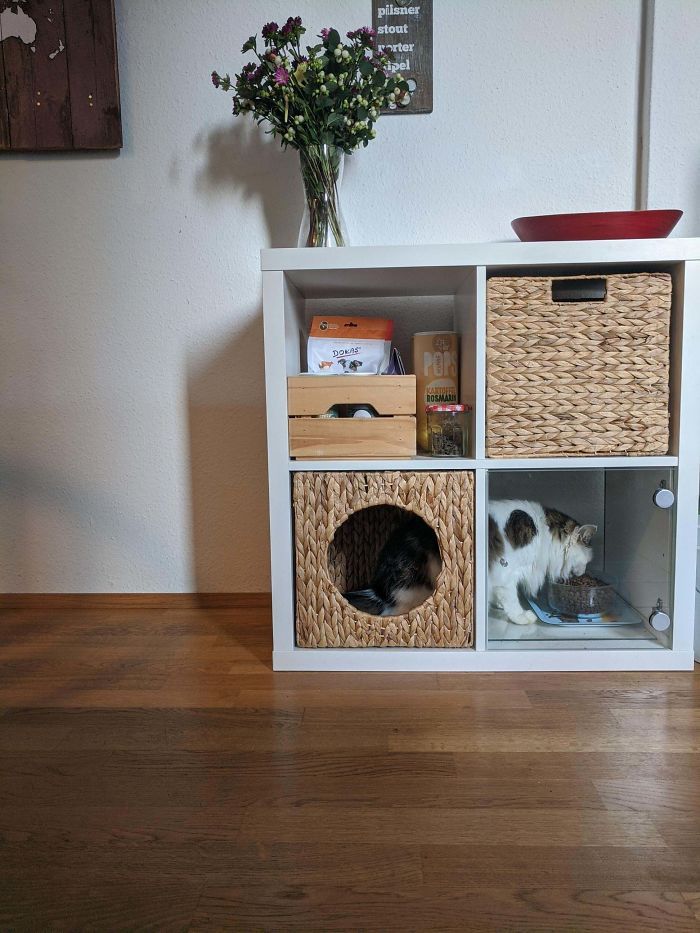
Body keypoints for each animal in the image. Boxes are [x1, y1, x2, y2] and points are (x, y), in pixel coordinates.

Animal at [344, 498, 596, 624]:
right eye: (586, 562)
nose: (583, 574)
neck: (544, 533)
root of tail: (378, 587)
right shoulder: (507, 573)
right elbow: (512, 600)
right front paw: (521, 617)